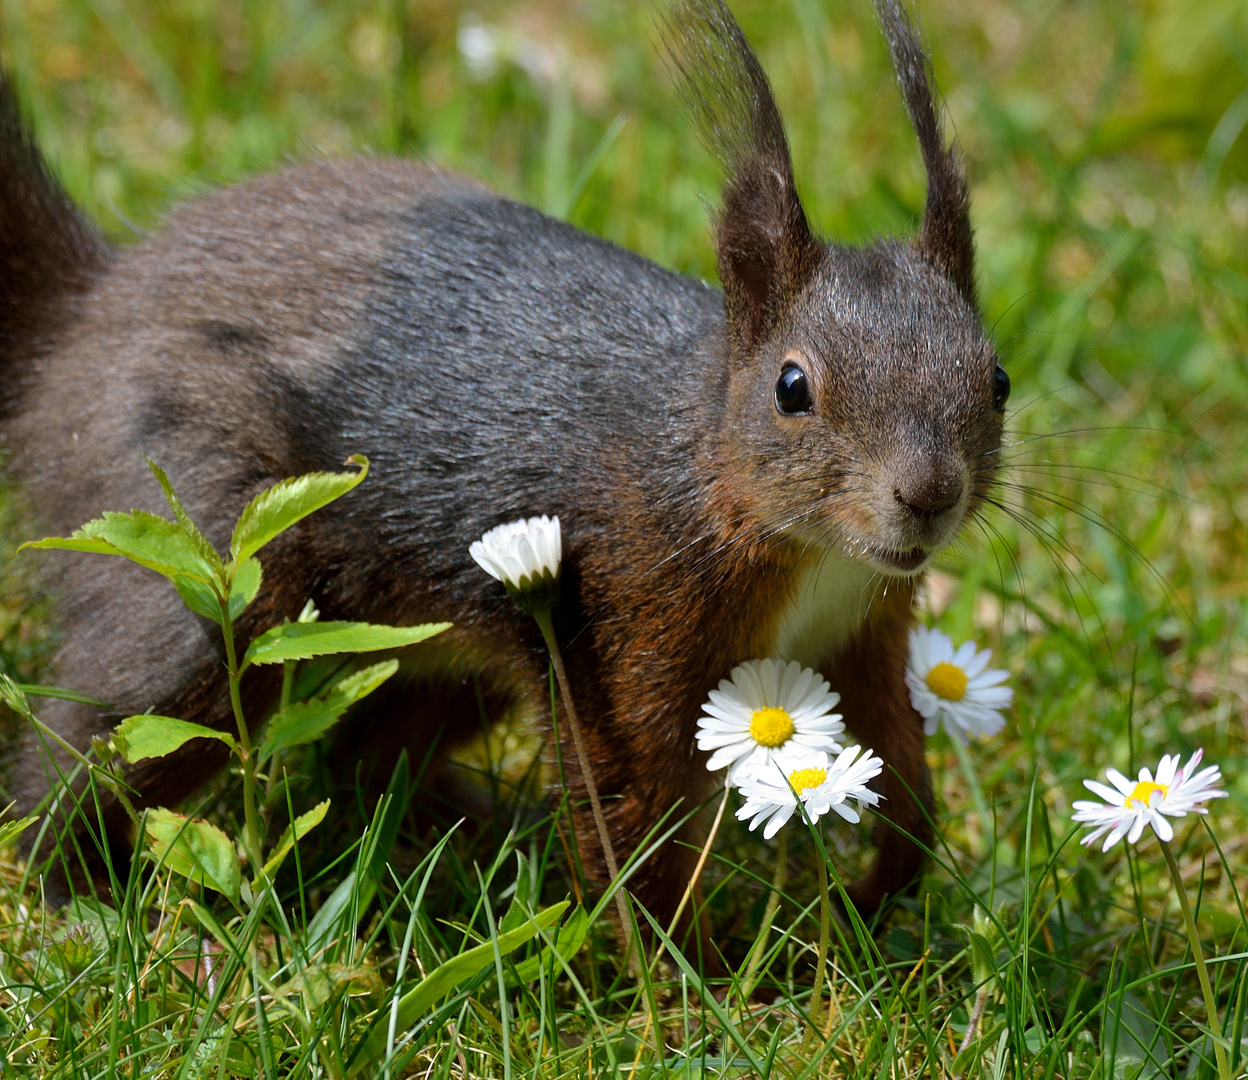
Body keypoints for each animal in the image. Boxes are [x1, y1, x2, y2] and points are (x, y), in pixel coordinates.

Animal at [0, 0, 1008, 928]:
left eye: (996, 378)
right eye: (792, 388)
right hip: (215, 560)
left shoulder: (858, 630)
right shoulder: (626, 617)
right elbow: (632, 811)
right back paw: (77, 898)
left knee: (366, 756)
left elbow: (898, 759)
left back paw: (469, 829)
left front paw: (880, 896)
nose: (929, 495)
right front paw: (699, 984)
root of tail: (79, 324)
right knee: (101, 739)